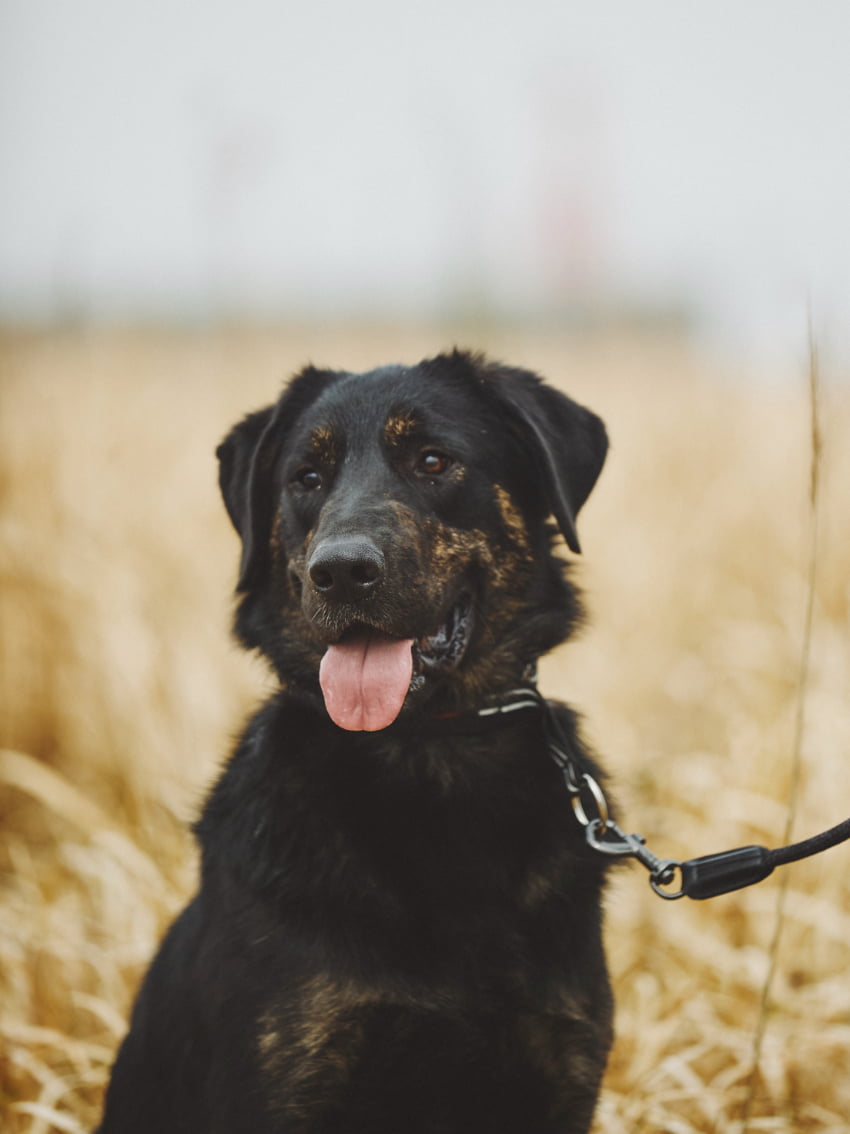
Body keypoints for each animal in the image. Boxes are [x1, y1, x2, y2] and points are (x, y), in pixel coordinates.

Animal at [98, 351, 612, 1134]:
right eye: (306, 478)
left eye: (433, 461)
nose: (340, 572)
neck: (426, 747)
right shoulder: (285, 1084)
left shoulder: (558, 1075)